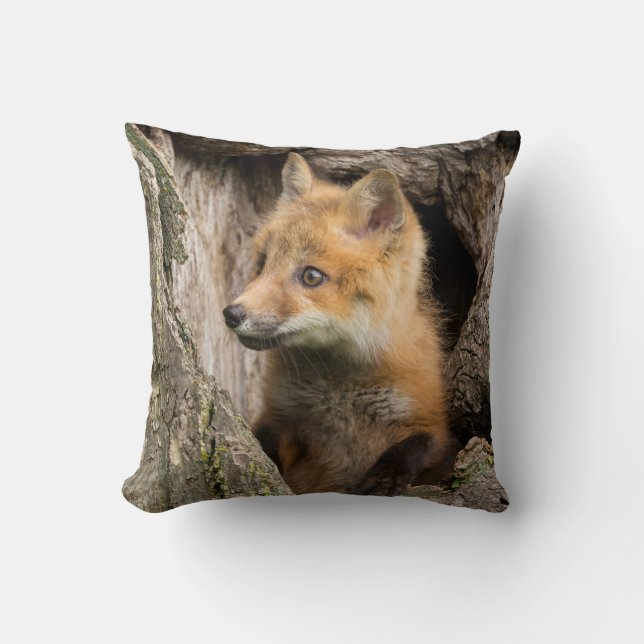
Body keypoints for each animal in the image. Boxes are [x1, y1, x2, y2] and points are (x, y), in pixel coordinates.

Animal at [222, 152, 453, 496]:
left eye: (311, 276)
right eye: (263, 263)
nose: (231, 314)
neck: (337, 390)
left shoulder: (429, 420)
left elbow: (411, 448)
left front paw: (381, 481)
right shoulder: (279, 417)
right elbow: (264, 444)